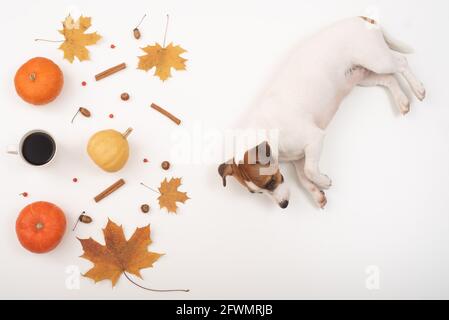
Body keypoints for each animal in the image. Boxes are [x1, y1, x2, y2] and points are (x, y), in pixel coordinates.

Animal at [219, 16, 426, 209]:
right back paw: (402, 101)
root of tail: (360, 17)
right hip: (364, 76)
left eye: (269, 182)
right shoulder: (298, 159)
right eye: (257, 193)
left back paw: (418, 89)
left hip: (377, 60)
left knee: (401, 62)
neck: (268, 130)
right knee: (389, 79)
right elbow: (303, 178)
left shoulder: (315, 139)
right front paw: (316, 194)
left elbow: (310, 171)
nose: (284, 205)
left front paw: (323, 181)